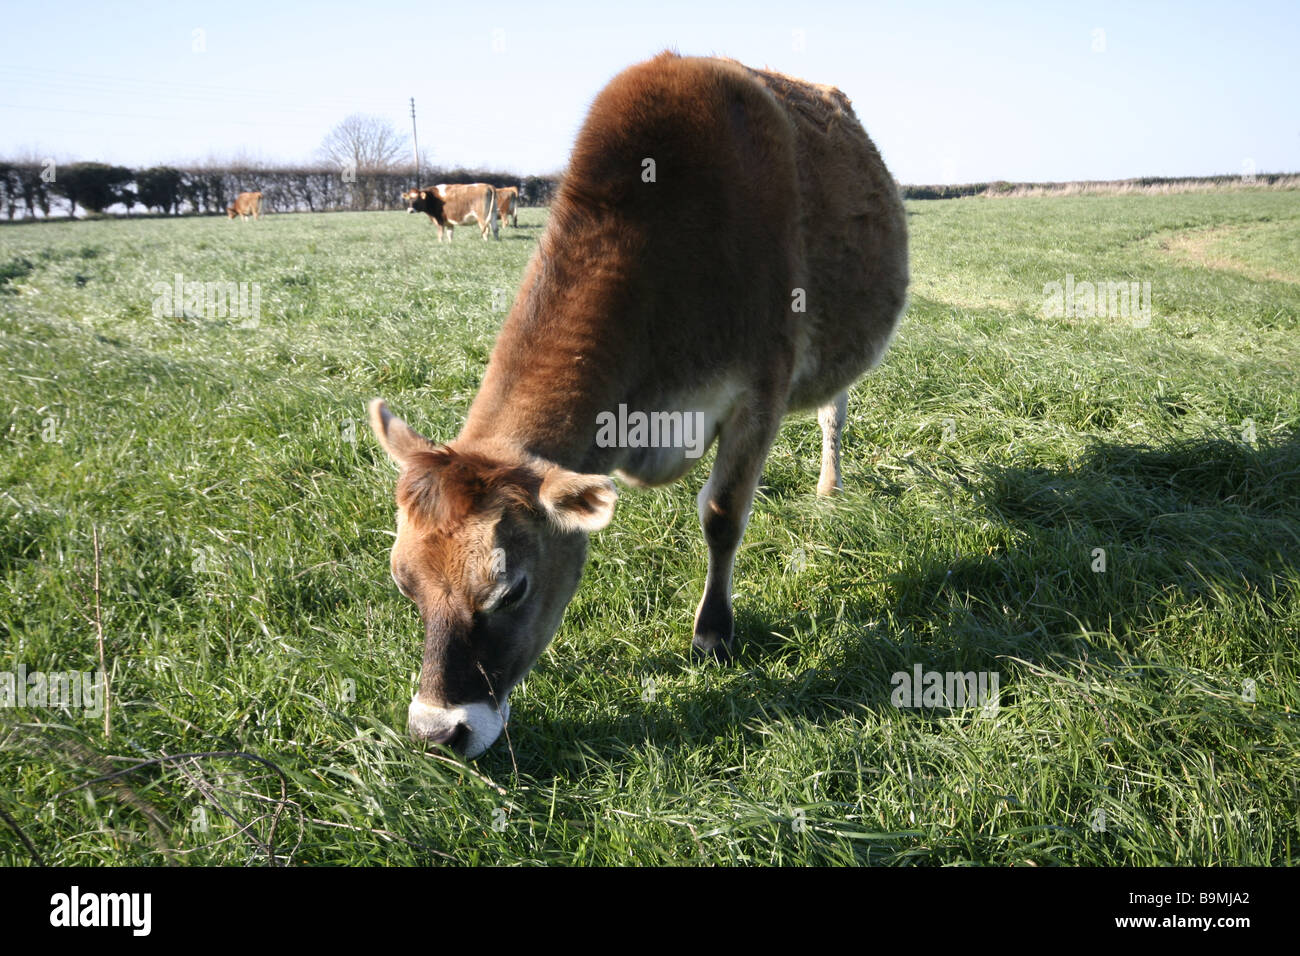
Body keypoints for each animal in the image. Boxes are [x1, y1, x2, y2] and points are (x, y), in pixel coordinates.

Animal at [370, 52, 909, 758]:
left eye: (512, 590)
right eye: (403, 582)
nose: (437, 733)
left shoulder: (760, 389)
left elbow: (722, 514)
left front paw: (713, 634)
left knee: (831, 417)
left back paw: (828, 484)